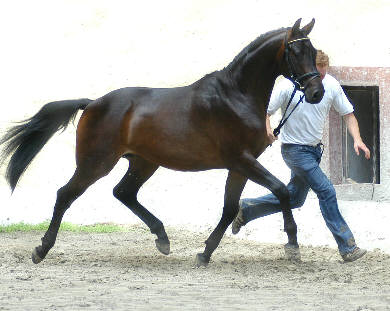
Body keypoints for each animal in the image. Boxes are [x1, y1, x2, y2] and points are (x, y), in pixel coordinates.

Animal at [0, 18, 322, 268]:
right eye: (295, 51)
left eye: (314, 51)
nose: (316, 92)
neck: (235, 95)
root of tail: (92, 103)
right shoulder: (242, 160)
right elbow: (280, 189)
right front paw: (292, 245)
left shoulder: (240, 165)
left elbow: (230, 208)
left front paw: (204, 254)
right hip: (96, 163)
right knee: (65, 194)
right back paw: (41, 249)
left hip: (144, 163)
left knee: (123, 192)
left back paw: (163, 238)